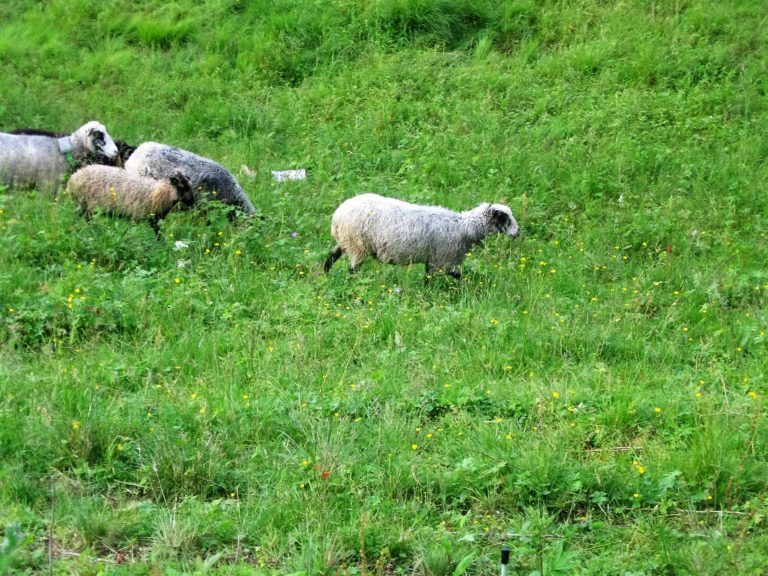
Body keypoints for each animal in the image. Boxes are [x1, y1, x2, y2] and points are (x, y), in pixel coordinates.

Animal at [324, 193, 520, 278]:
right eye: (505, 218)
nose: (517, 233)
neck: (464, 228)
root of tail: (338, 215)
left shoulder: (432, 260)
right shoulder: (442, 260)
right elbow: (456, 276)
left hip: (346, 241)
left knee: (331, 257)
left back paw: (324, 276)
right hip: (357, 245)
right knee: (352, 269)